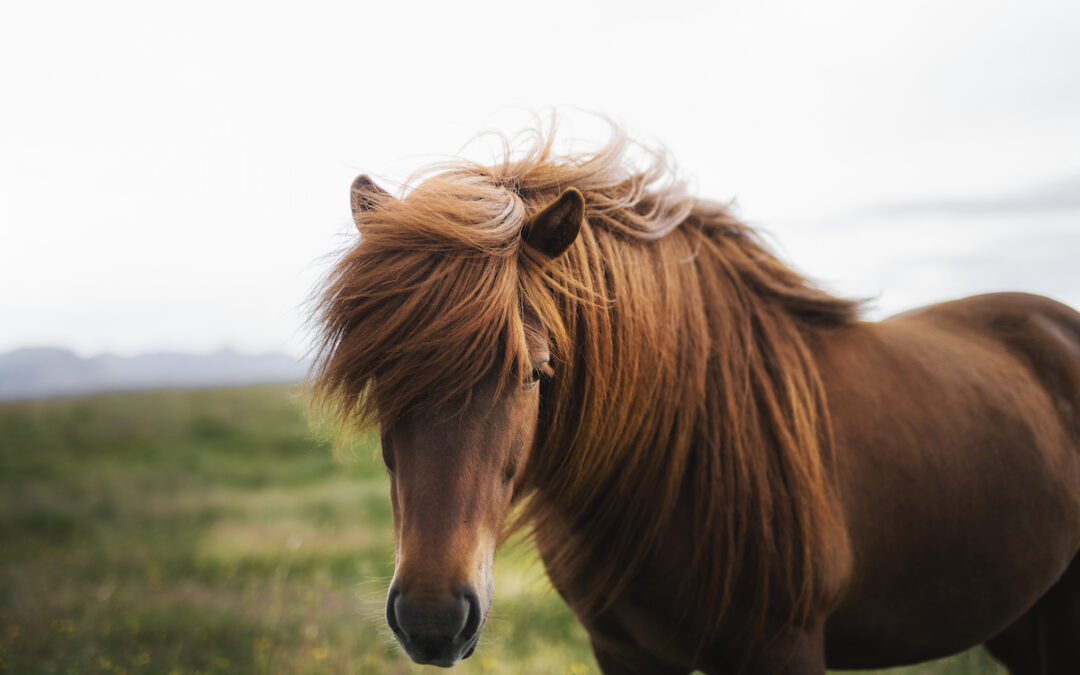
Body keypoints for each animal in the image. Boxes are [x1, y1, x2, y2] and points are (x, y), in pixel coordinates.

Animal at [310, 127, 1080, 674]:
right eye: (379, 375)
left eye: (535, 372)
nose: (433, 620)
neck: (671, 467)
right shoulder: (624, 652)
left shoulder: (784, 648)